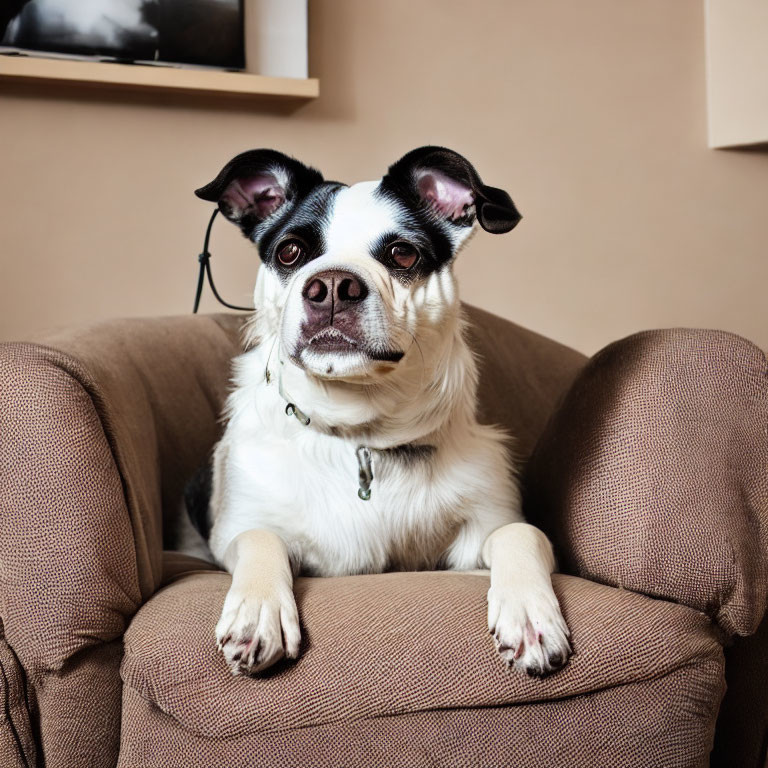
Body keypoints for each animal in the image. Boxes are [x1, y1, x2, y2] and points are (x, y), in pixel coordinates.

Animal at [187, 147, 568, 680]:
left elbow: (521, 532)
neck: (358, 431)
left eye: (402, 254)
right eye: (290, 253)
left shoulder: (480, 534)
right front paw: (258, 611)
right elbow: (261, 538)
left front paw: (530, 612)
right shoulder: (235, 533)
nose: (331, 286)